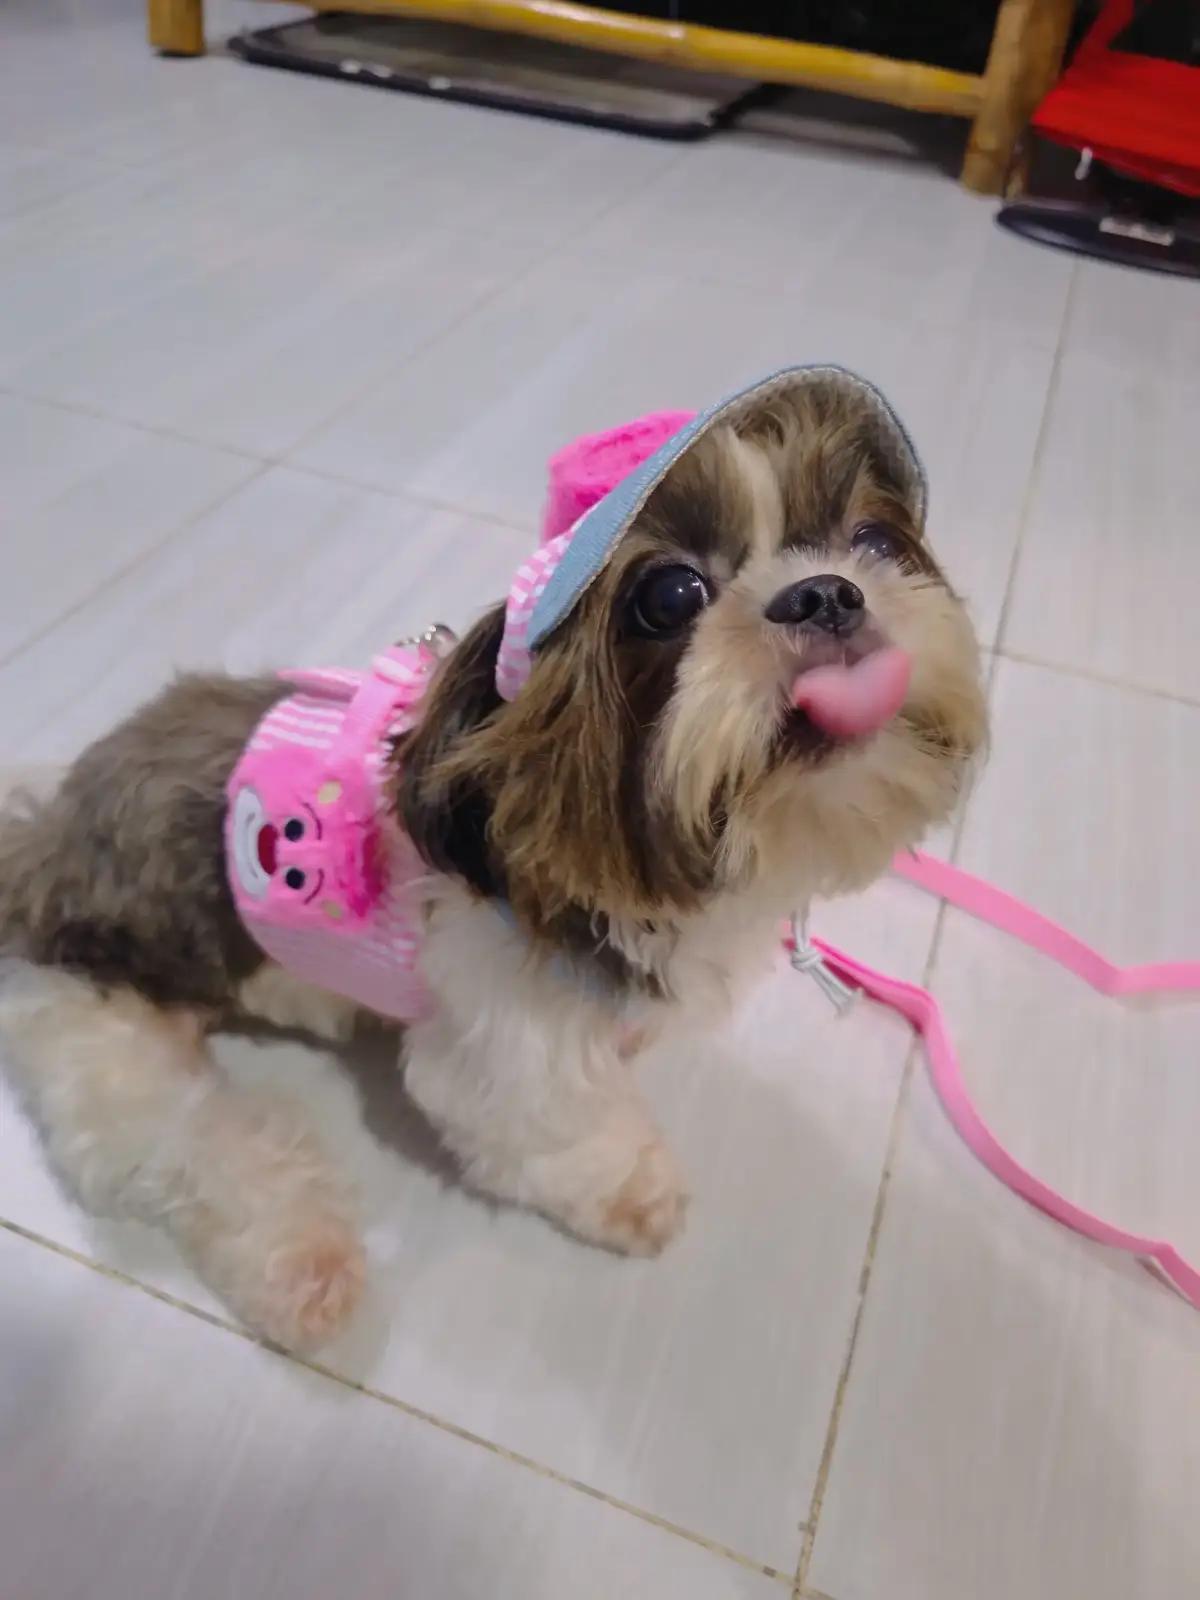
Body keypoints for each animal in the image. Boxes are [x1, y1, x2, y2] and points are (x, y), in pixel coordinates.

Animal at [0, 366, 985, 1350]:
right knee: (181, 1138)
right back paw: (302, 1263)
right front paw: (633, 1187)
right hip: (93, 1021)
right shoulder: (508, 1051)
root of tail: (42, 835)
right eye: (670, 597)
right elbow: (561, 1139)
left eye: (873, 540)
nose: (825, 593)